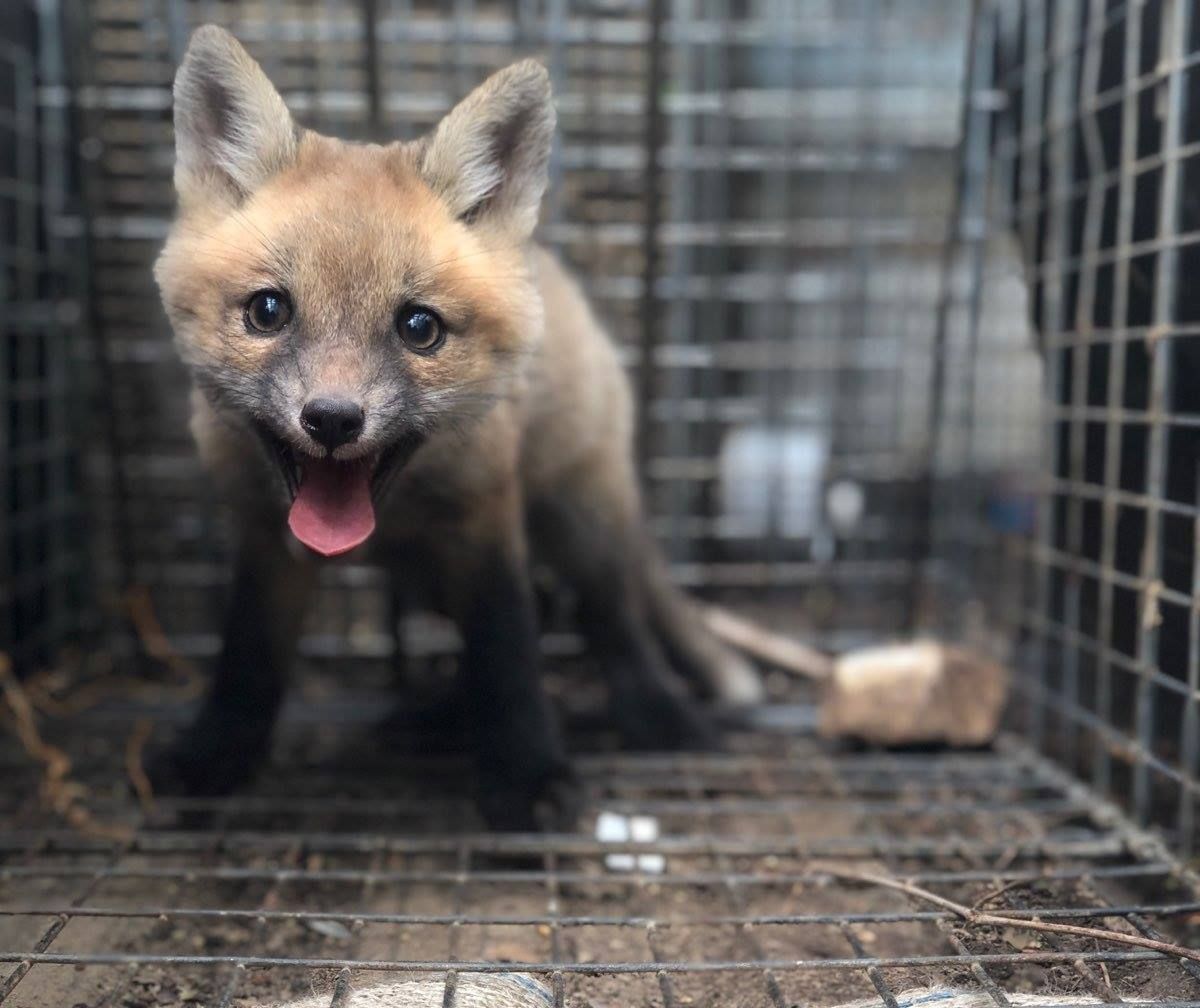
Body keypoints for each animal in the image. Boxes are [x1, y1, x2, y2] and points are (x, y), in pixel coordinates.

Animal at [152, 25, 763, 829]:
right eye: (268, 311)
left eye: (420, 327)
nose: (333, 419)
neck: (394, 508)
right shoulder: (263, 535)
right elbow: (247, 659)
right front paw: (215, 755)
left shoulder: (486, 517)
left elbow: (507, 652)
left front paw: (528, 774)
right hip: (428, 578)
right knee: (546, 606)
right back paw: (437, 716)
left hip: (580, 518)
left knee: (610, 616)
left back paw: (658, 716)